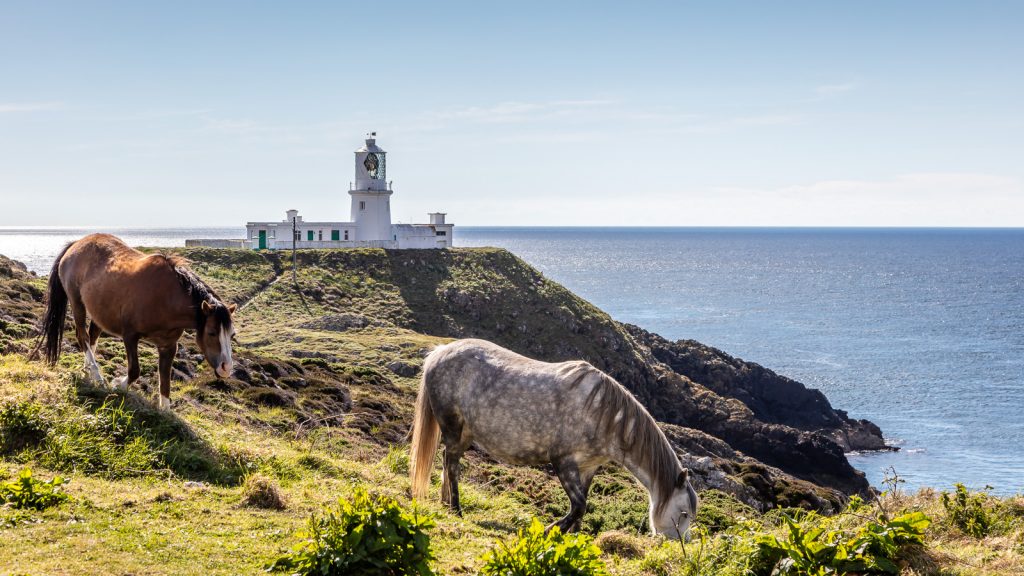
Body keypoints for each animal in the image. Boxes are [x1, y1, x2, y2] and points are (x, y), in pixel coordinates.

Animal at [39, 231, 235, 407]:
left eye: (232, 335)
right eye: (211, 332)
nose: (226, 368)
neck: (166, 298)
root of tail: (75, 244)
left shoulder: (168, 347)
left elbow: (165, 383)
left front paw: (164, 412)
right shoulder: (130, 336)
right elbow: (134, 371)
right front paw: (117, 385)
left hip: (98, 312)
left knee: (92, 337)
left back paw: (88, 371)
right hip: (77, 302)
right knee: (82, 336)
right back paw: (97, 375)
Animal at [407, 338, 696, 537]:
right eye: (683, 513)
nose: (677, 545)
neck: (602, 413)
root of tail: (439, 352)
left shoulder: (588, 468)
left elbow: (581, 508)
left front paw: (574, 538)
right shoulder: (563, 462)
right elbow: (579, 506)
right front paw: (550, 530)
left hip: (465, 433)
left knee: (448, 462)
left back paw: (446, 503)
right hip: (452, 428)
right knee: (451, 464)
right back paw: (456, 509)